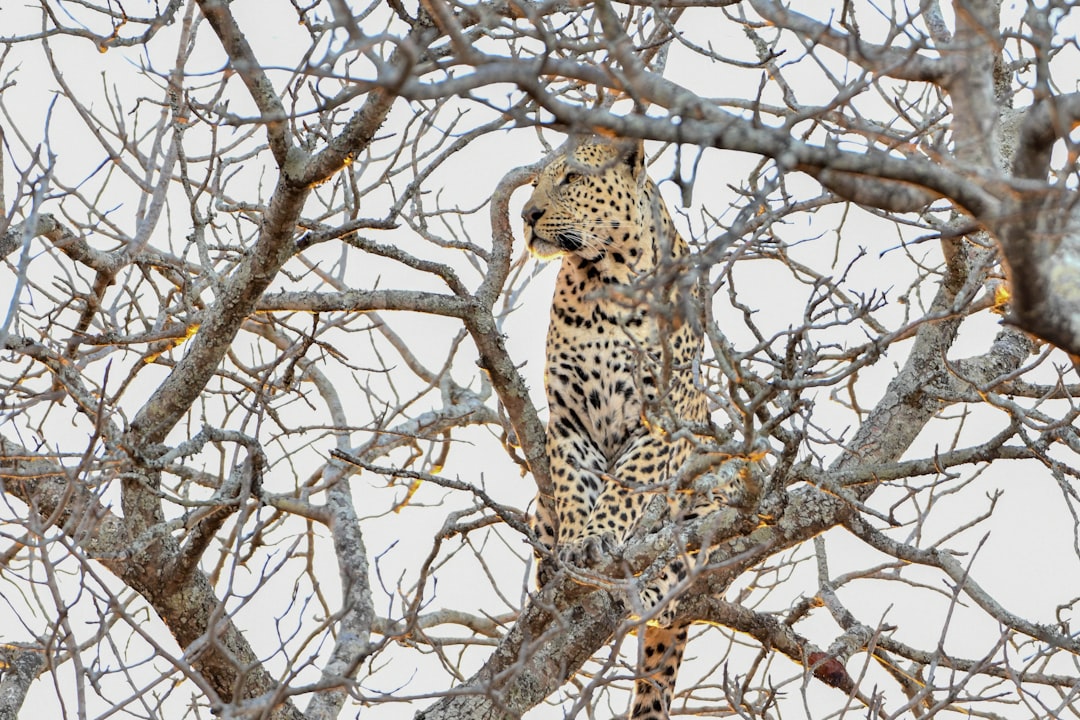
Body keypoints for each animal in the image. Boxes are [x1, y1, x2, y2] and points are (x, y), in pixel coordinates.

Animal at [520, 136, 751, 720]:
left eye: (572, 178)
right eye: (534, 183)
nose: (527, 214)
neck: (603, 279)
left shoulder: (661, 417)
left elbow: (625, 487)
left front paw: (599, 536)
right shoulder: (569, 419)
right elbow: (575, 487)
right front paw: (576, 545)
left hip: (718, 489)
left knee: (680, 566)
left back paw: (645, 590)